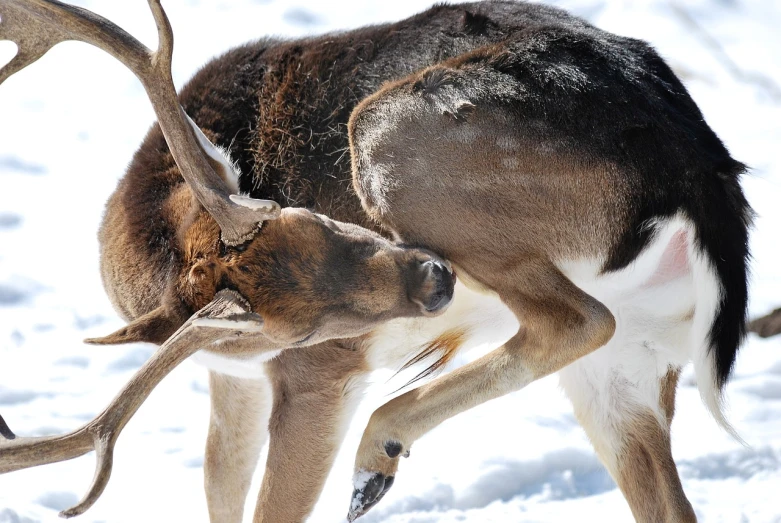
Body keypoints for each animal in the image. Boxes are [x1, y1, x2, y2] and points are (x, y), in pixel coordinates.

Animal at [0, 1, 752, 523]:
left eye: (312, 214)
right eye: (294, 324)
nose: (433, 281)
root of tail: (698, 164)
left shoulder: (319, 375)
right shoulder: (234, 374)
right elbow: (220, 488)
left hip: (389, 135)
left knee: (577, 317)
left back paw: (375, 455)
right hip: (635, 356)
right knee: (663, 494)